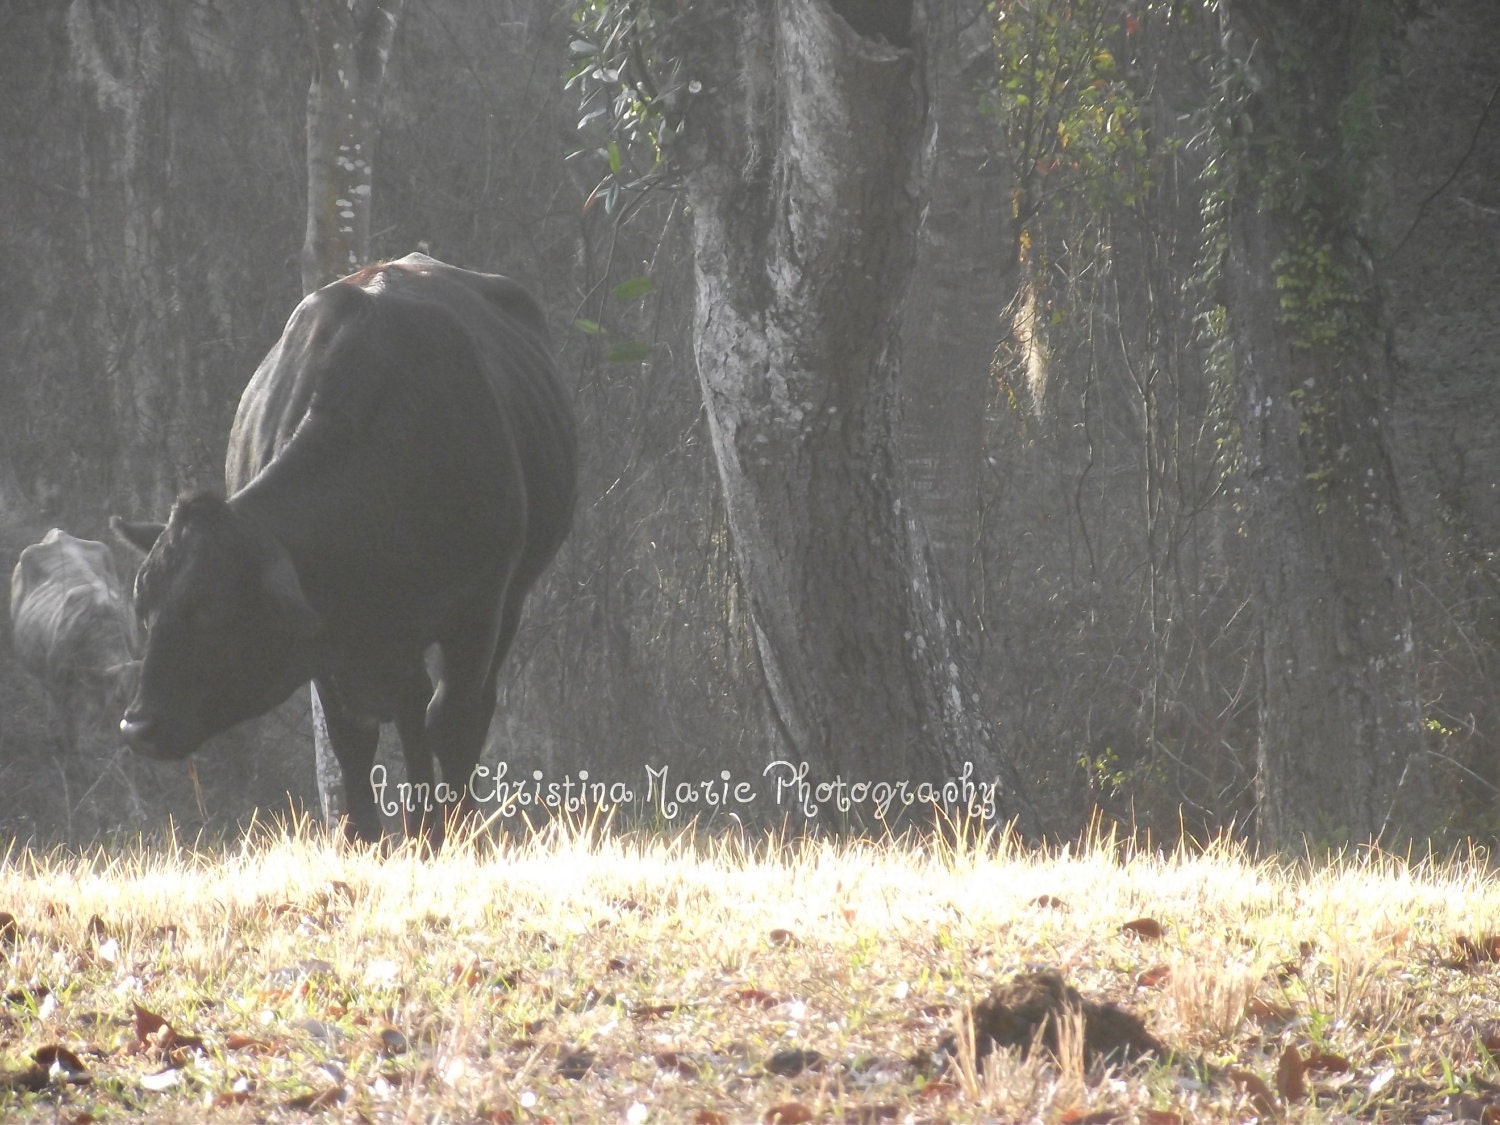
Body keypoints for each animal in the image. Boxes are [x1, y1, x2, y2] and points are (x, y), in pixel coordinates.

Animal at [112, 253, 577, 843]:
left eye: (209, 610)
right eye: (144, 610)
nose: (138, 725)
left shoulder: (479, 609)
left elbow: (451, 721)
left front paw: (451, 833)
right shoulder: (330, 642)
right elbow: (352, 737)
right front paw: (368, 838)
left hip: (508, 601)